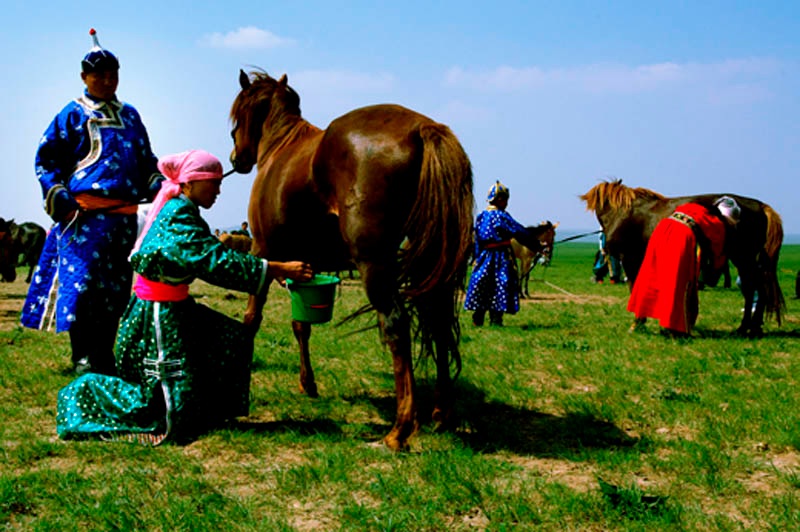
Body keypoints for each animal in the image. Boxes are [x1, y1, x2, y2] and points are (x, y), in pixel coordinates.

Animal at [228, 69, 476, 448]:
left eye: (238, 115)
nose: (235, 158)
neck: (280, 146)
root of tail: (423, 127)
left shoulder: (263, 252)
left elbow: (252, 318)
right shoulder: (306, 266)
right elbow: (301, 325)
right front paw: (308, 383)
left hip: (374, 264)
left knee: (397, 325)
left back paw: (400, 429)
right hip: (431, 262)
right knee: (438, 321)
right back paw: (441, 414)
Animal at [580, 179, 784, 336]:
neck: (624, 212)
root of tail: (760, 206)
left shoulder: (629, 258)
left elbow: (634, 286)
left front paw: (638, 321)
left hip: (744, 257)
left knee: (753, 290)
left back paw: (748, 327)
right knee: (756, 289)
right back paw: (750, 327)